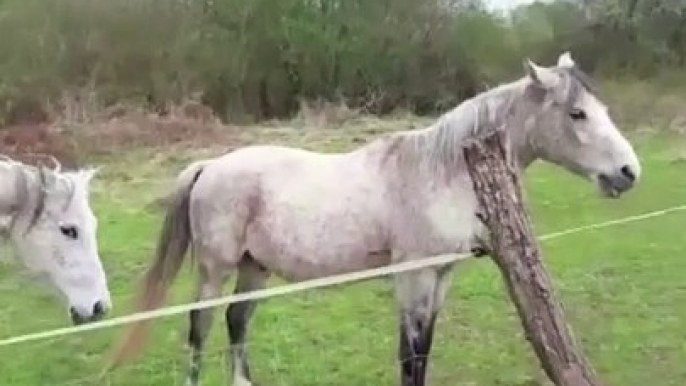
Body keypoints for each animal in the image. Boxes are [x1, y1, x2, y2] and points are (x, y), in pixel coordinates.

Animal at [114, 52, 644, 386]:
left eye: (599, 108)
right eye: (577, 114)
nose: (628, 172)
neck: (438, 171)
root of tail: (209, 167)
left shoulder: (440, 278)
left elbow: (424, 350)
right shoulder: (413, 277)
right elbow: (409, 354)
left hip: (253, 267)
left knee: (235, 323)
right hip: (215, 268)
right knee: (199, 328)